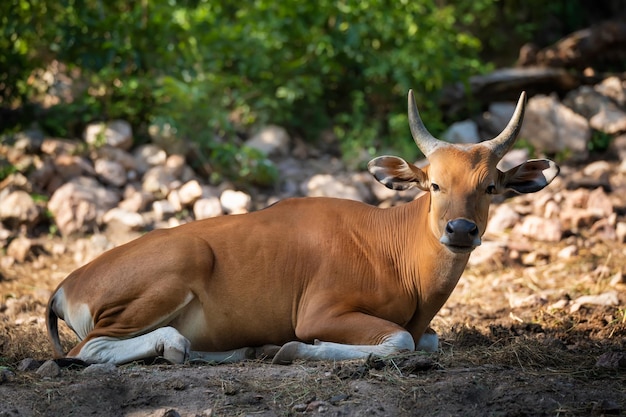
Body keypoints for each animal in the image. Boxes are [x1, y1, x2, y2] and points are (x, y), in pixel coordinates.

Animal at [46, 89, 560, 362]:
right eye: (433, 184)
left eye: (490, 186)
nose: (460, 231)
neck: (394, 252)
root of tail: (65, 286)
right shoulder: (319, 313)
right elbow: (400, 341)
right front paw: (294, 349)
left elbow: (426, 340)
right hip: (176, 264)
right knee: (88, 351)